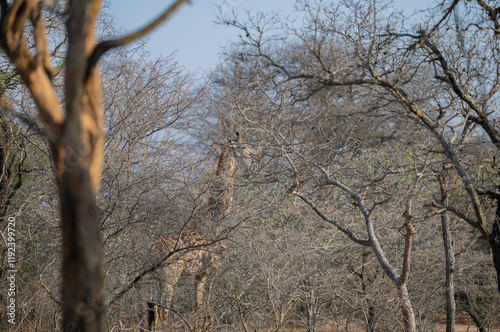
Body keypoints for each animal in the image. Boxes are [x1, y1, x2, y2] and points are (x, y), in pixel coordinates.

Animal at [146, 136, 244, 332]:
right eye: (242, 146)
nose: (255, 155)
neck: (215, 220)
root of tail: (153, 249)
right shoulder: (212, 268)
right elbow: (207, 304)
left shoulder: (199, 273)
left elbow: (198, 305)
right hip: (170, 276)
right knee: (164, 311)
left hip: (156, 278)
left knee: (154, 311)